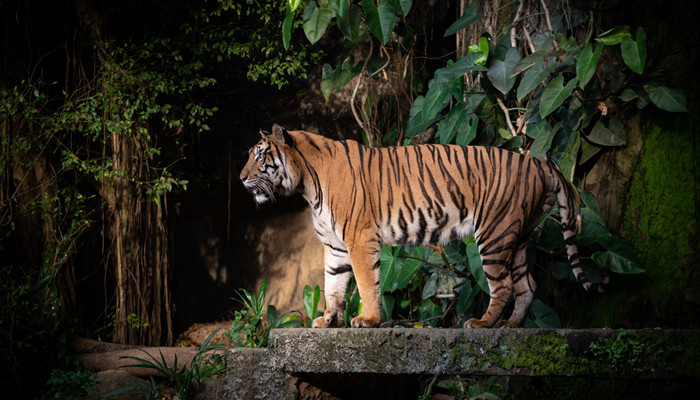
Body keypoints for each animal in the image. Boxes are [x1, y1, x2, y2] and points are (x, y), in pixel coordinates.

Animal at [241, 124, 600, 328]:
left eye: (259, 156)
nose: (242, 178)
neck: (307, 184)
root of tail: (537, 161)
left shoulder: (358, 239)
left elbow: (366, 283)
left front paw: (368, 320)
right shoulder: (335, 245)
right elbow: (333, 285)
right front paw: (328, 319)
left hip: (494, 233)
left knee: (506, 286)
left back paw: (482, 324)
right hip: (519, 237)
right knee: (528, 285)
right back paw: (510, 326)